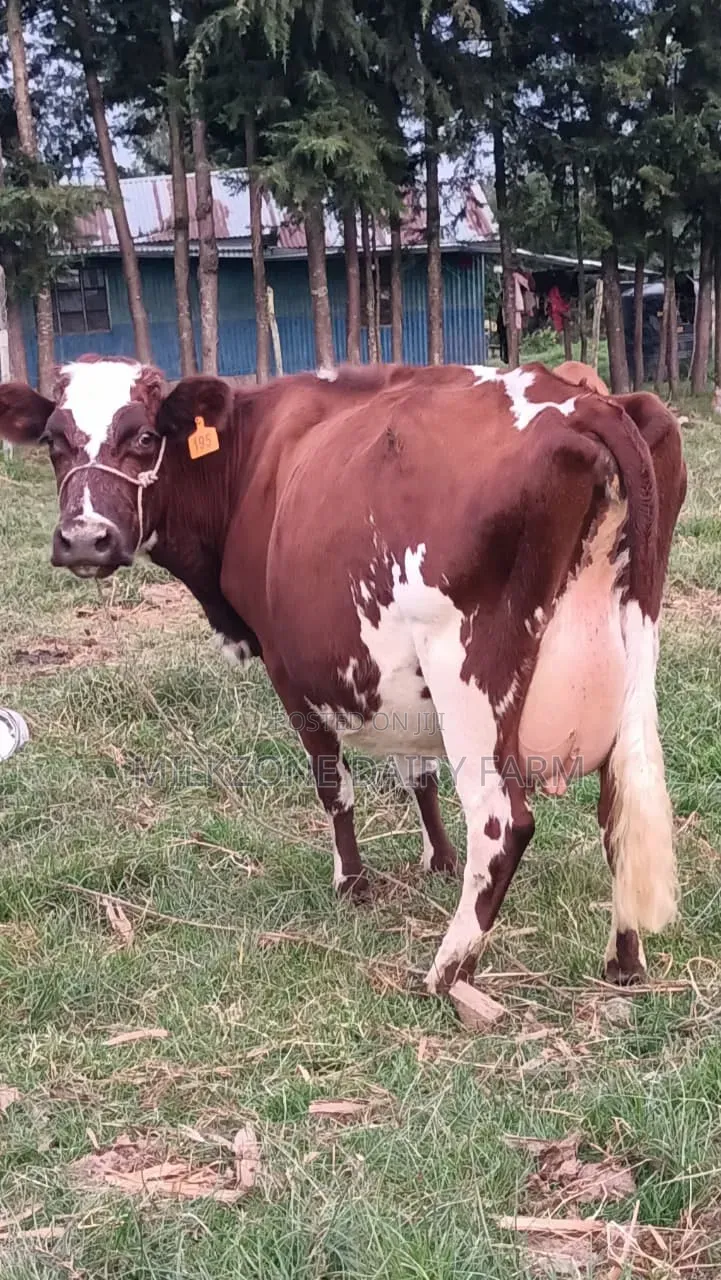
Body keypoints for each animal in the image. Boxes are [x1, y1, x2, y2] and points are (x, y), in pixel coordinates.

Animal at [0, 356, 686, 997]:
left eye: (143, 436)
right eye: (54, 441)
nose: (84, 539)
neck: (253, 456)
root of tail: (580, 403)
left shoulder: (290, 669)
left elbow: (335, 786)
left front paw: (352, 883)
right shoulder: (401, 679)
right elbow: (418, 773)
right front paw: (437, 859)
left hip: (468, 671)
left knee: (503, 822)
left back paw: (447, 970)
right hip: (629, 655)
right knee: (622, 806)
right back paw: (624, 958)